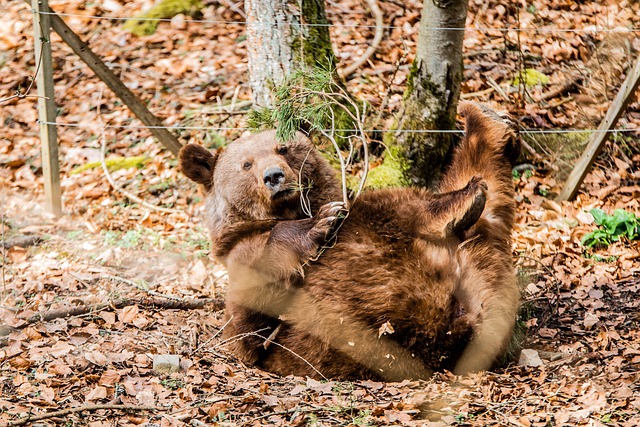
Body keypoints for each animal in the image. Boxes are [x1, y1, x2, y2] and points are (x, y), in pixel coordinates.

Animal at [180, 103, 520, 382]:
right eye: (247, 164)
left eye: (284, 147)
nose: (274, 176)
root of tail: (462, 316)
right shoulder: (242, 262)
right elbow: (251, 319)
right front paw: (320, 222)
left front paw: (325, 217)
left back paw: (481, 126)